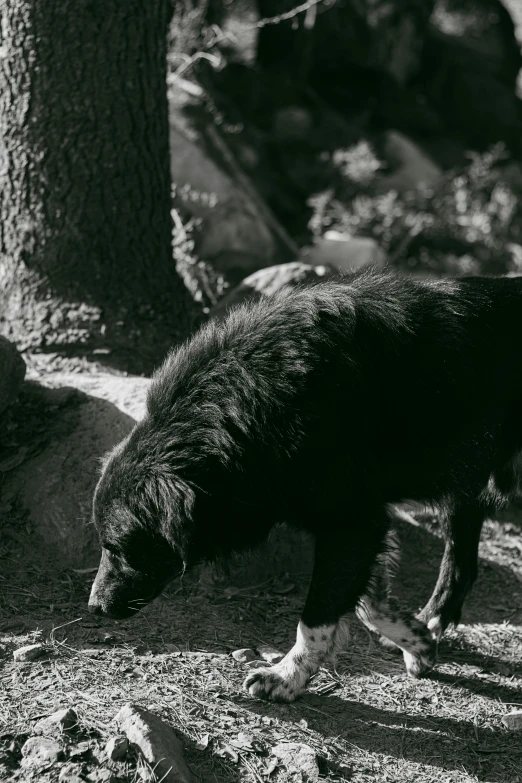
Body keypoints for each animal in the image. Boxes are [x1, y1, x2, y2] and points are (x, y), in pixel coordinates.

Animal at [87, 268, 520, 704]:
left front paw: (284, 678)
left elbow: (318, 615)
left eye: (118, 549)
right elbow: (368, 601)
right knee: (461, 560)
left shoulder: (350, 521)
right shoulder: (362, 516)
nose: (94, 608)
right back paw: (432, 621)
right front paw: (416, 641)